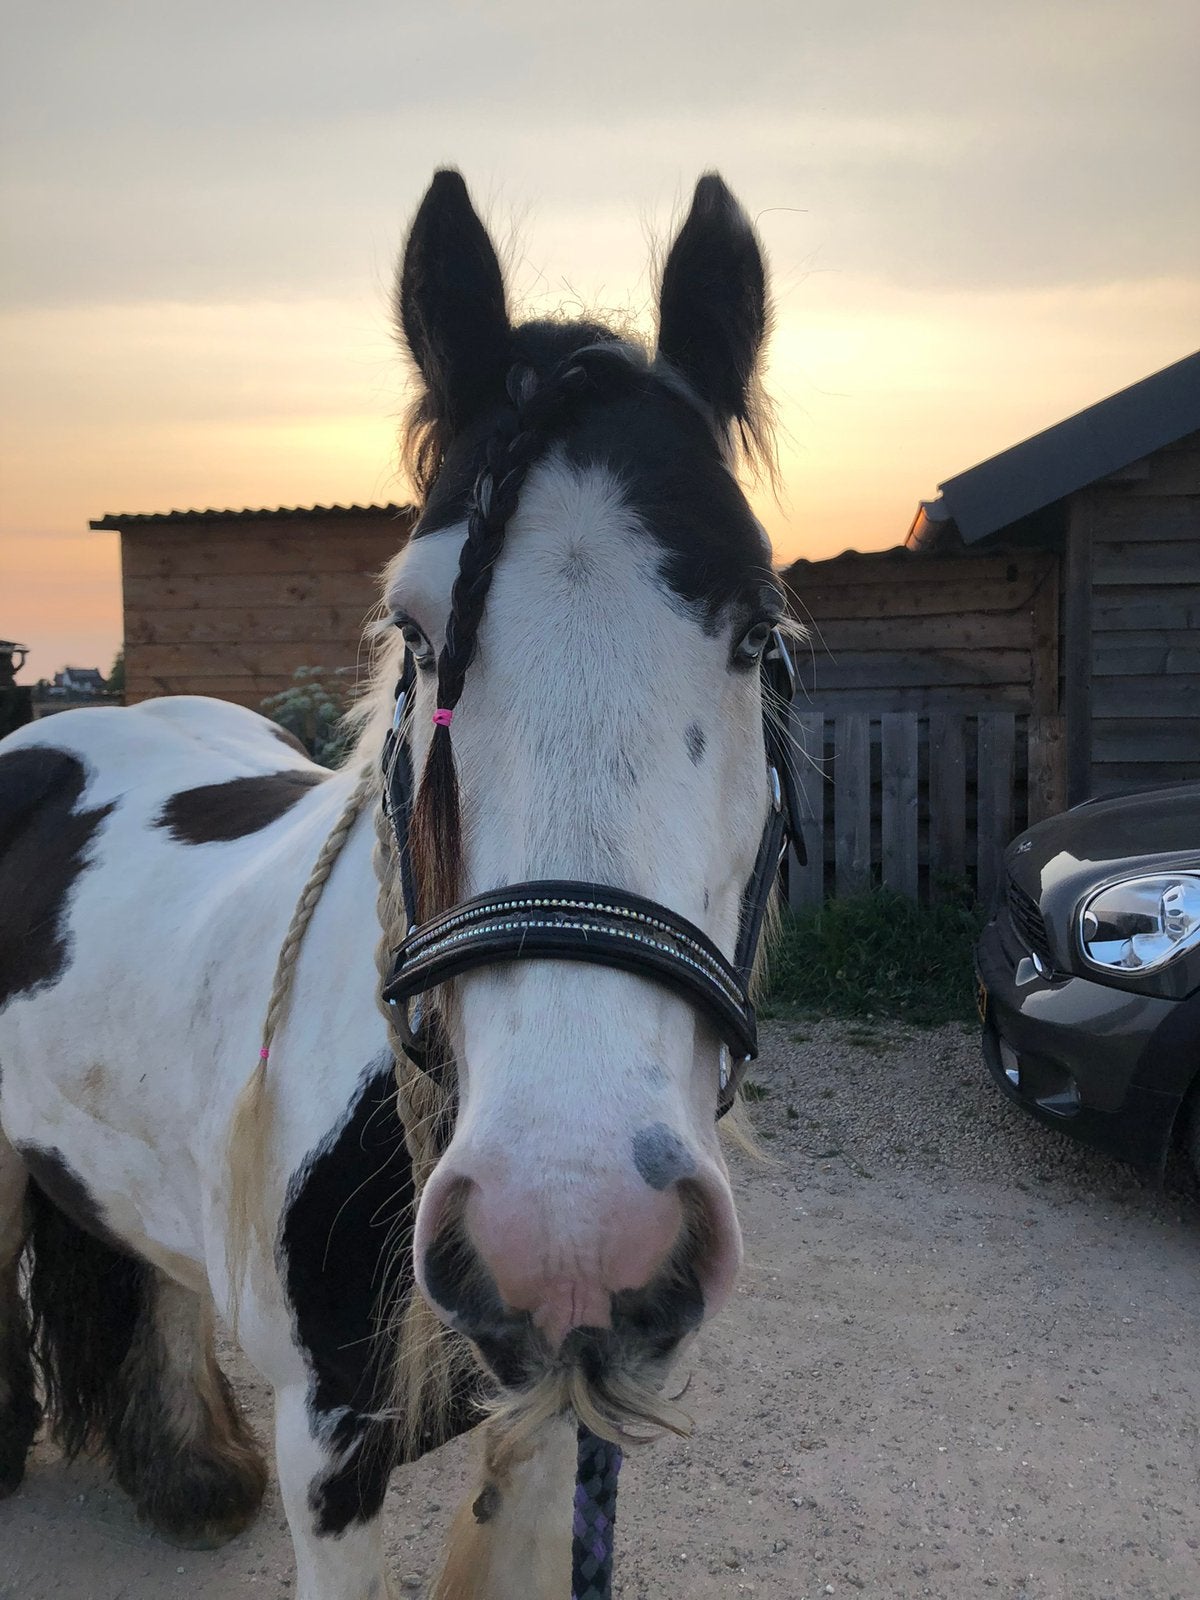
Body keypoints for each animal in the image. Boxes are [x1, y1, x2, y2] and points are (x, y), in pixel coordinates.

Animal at [0, 168, 796, 1599]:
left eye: (760, 632)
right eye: (414, 631)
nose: (571, 1232)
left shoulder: (549, 1425)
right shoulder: (334, 1451)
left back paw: (188, 1471)